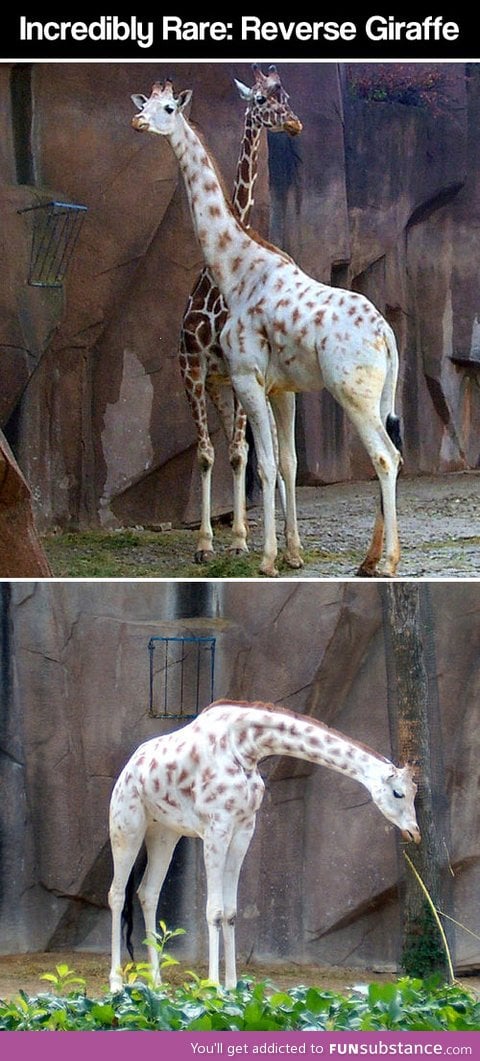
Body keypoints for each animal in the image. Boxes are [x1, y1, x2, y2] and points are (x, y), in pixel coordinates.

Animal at [108, 700, 420, 988]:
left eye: (415, 792)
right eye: (398, 793)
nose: (414, 833)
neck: (246, 748)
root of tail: (129, 767)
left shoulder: (244, 828)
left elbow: (231, 912)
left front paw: (232, 987)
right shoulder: (216, 827)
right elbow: (214, 910)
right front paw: (212, 988)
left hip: (164, 832)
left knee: (148, 892)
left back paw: (156, 982)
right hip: (126, 824)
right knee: (117, 894)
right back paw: (116, 984)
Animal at [131, 80, 405, 581]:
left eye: (168, 108)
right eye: (145, 104)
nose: (138, 122)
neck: (236, 270)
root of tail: (386, 335)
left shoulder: (246, 376)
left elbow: (263, 464)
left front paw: (265, 559)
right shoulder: (282, 388)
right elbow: (288, 462)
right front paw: (292, 553)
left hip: (352, 390)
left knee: (384, 455)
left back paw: (387, 563)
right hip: (379, 392)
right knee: (390, 451)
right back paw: (369, 559)